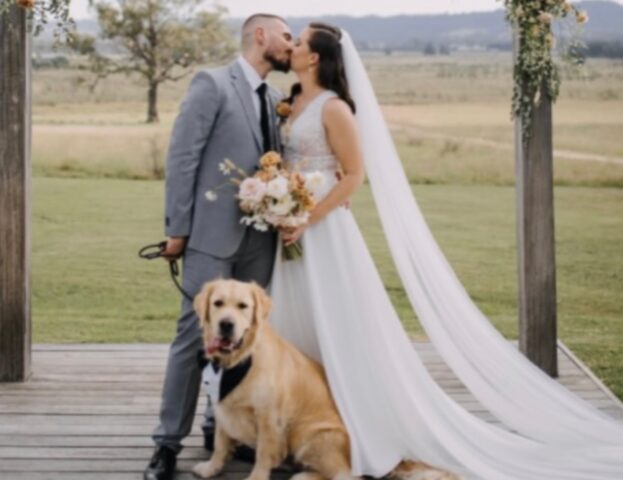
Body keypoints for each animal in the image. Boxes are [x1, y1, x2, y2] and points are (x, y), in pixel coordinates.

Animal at [190, 278, 458, 480]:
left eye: (242, 306)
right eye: (218, 303)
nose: (226, 324)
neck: (240, 360)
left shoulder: (269, 417)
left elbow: (263, 453)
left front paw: (256, 477)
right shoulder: (224, 405)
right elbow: (220, 443)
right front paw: (211, 468)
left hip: (311, 436)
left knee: (345, 475)